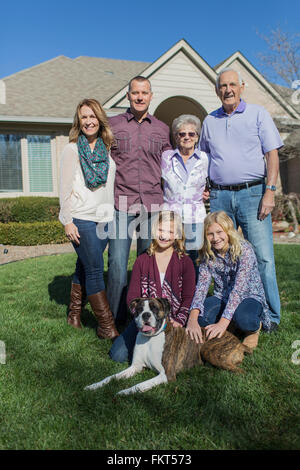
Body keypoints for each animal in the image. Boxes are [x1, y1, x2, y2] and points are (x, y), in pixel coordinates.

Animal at [84, 300, 251, 394]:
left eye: (154, 308)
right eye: (139, 309)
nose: (145, 315)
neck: (150, 339)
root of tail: (239, 342)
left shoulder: (167, 374)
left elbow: (140, 385)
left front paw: (123, 392)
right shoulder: (135, 367)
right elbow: (111, 377)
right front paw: (94, 386)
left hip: (208, 350)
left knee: (241, 371)